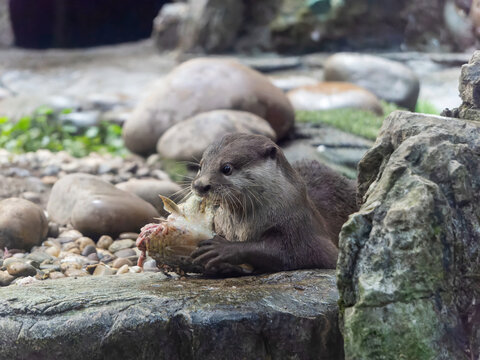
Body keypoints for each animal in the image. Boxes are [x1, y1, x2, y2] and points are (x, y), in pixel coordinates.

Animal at [189, 134, 358, 274]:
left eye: (226, 168)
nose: (199, 185)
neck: (243, 227)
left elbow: (289, 252)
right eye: (200, 166)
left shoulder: (299, 226)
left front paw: (223, 248)